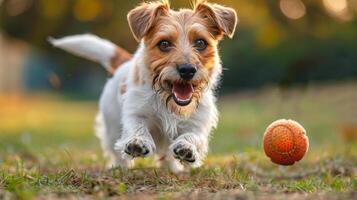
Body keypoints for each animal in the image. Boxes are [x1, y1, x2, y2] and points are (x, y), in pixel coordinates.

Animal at [48, 0, 236, 172]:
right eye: (164, 44)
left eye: (200, 42)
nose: (187, 70)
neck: (168, 102)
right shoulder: (135, 112)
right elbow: (137, 127)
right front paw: (138, 142)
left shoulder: (198, 122)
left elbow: (193, 136)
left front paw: (186, 147)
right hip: (112, 125)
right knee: (115, 149)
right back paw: (119, 167)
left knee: (166, 156)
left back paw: (171, 168)